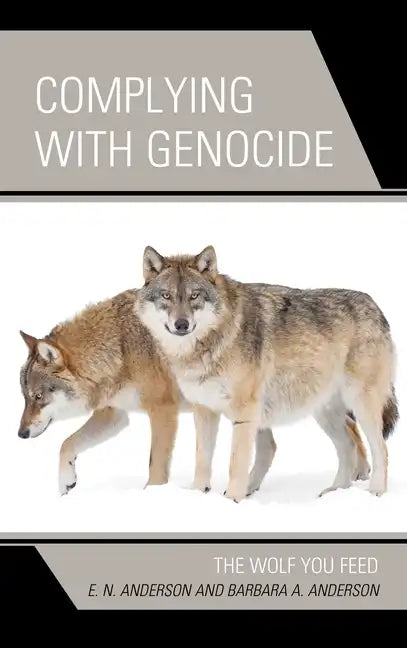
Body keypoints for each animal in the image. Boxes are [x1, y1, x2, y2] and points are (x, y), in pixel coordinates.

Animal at [18, 289, 182, 495]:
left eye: (38, 396)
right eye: (25, 397)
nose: (21, 434)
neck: (120, 348)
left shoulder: (163, 409)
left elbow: (156, 467)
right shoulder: (114, 414)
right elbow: (66, 444)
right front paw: (66, 482)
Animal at [136, 245, 398, 502]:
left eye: (194, 295)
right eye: (166, 295)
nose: (181, 324)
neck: (209, 344)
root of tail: (376, 306)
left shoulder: (244, 411)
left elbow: (236, 463)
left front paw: (232, 499)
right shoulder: (204, 410)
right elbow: (202, 459)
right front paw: (199, 493)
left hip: (361, 404)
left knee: (381, 448)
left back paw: (375, 492)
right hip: (324, 412)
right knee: (348, 447)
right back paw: (332, 493)